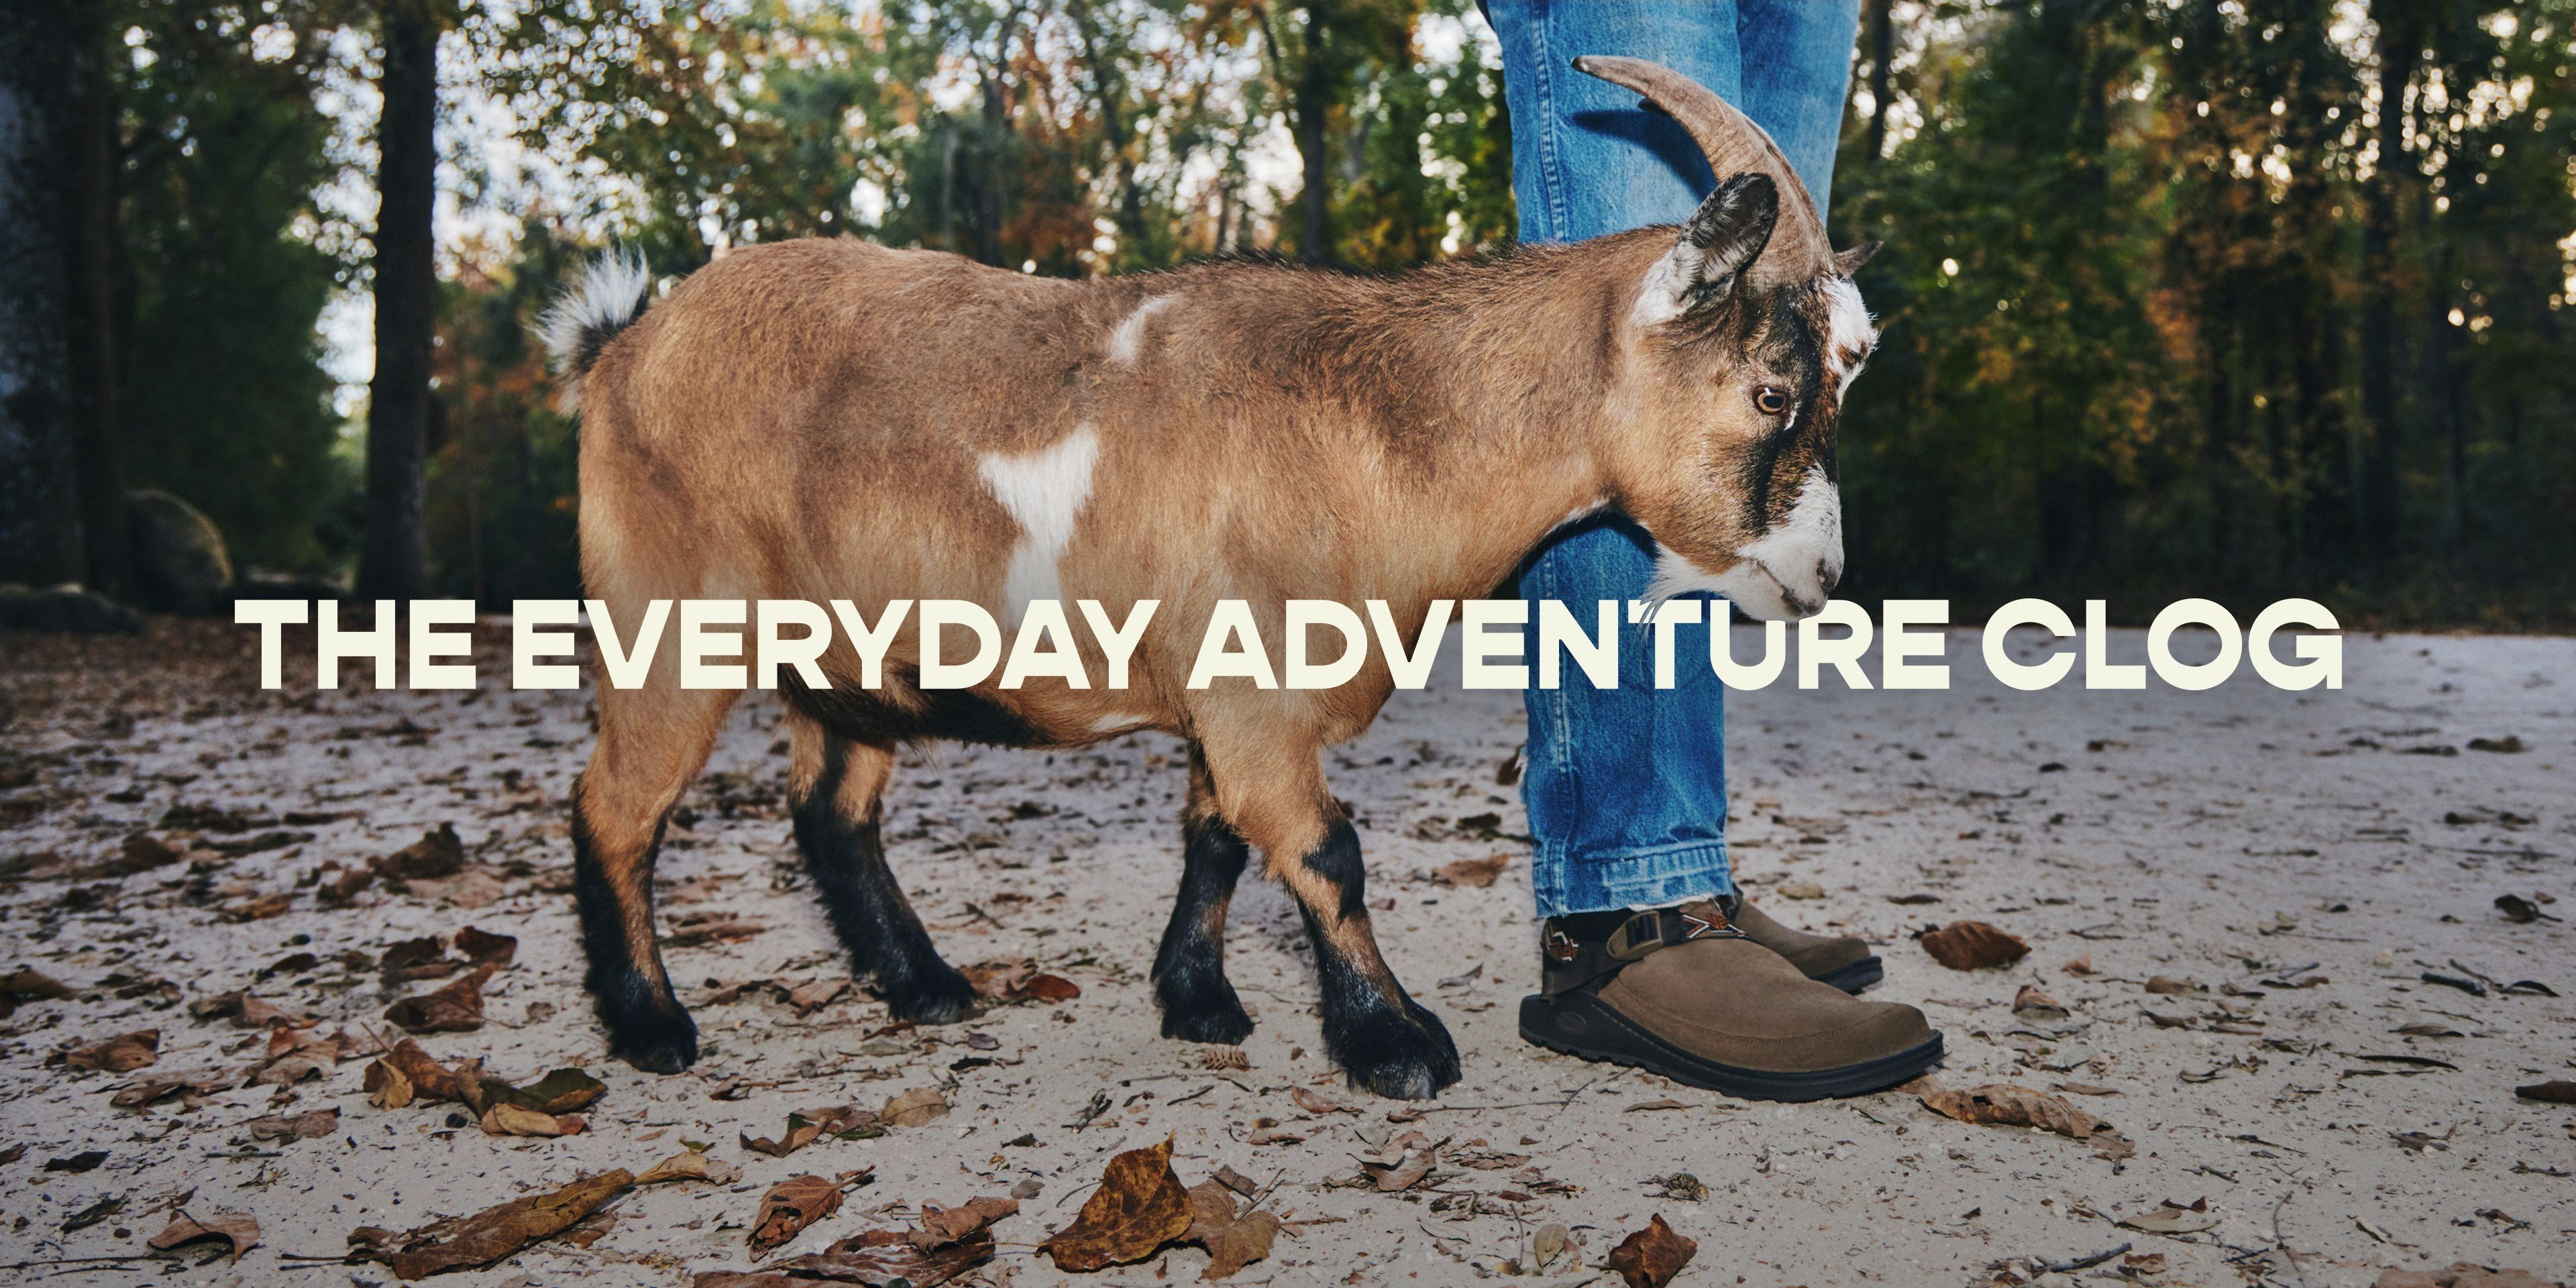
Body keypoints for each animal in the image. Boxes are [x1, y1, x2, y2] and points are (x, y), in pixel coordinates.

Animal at [550, 57, 1878, 1099]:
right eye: (1774, 391)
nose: (1820, 574)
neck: (1377, 422)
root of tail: (620, 348)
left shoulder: (1221, 694)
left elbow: (1219, 844)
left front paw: (1197, 1004)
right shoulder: (1255, 699)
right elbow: (1326, 853)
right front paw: (1396, 1043)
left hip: (851, 664)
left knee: (832, 811)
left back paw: (924, 987)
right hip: (667, 621)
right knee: (617, 806)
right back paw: (654, 1027)